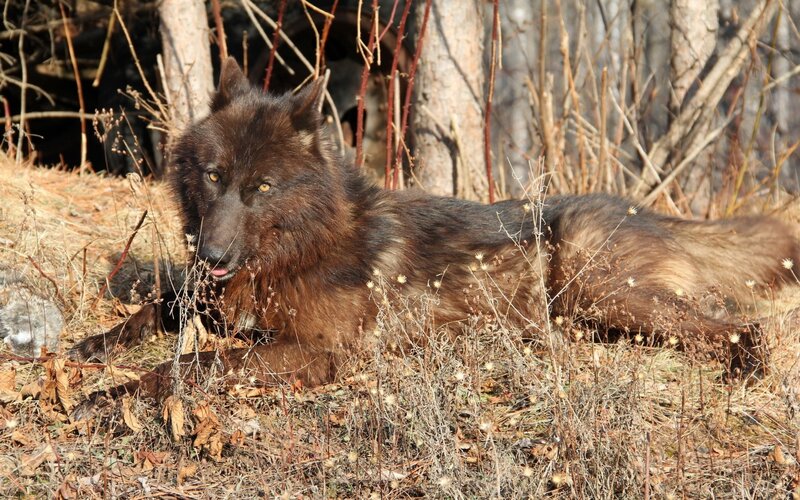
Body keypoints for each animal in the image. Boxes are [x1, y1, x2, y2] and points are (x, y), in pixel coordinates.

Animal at [71, 58, 799, 403]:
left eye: (263, 189)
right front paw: (89, 350)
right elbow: (156, 309)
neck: (300, 247)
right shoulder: (207, 298)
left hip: (598, 290)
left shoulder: (320, 352)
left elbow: (197, 363)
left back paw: (745, 370)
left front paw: (108, 397)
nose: (214, 252)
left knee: (745, 326)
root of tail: (646, 212)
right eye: (214, 177)